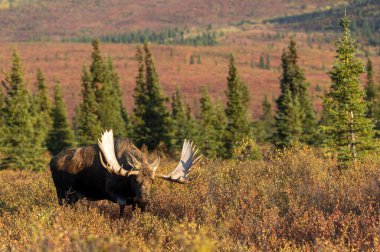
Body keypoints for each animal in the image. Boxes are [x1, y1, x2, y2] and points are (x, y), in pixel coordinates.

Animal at [50, 130, 202, 217]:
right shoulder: (110, 190)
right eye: (134, 179)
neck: (129, 188)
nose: (144, 200)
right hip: (62, 192)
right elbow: (122, 204)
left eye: (152, 180)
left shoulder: (134, 200)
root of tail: (51, 161)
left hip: (73, 196)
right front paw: (121, 219)